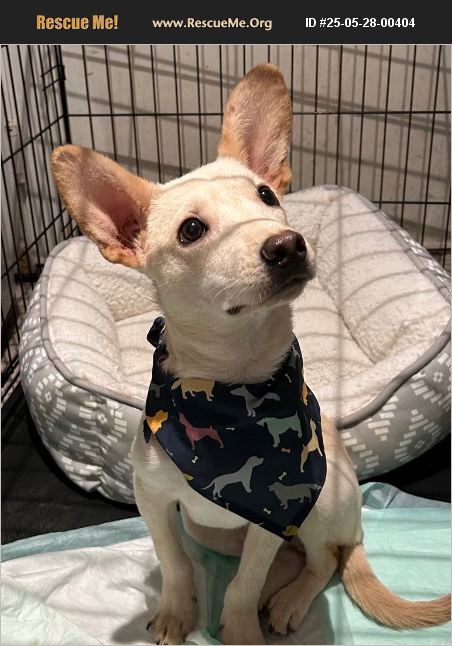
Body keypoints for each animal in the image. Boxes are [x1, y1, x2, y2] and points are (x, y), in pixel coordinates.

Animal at [52, 63, 450, 644]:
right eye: (192, 230)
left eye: (267, 195)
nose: (288, 244)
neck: (230, 380)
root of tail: (356, 525)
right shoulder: (154, 498)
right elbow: (173, 561)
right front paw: (176, 612)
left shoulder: (272, 513)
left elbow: (243, 583)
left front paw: (239, 629)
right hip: (212, 530)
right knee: (288, 558)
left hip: (323, 502)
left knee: (324, 559)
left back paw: (287, 601)